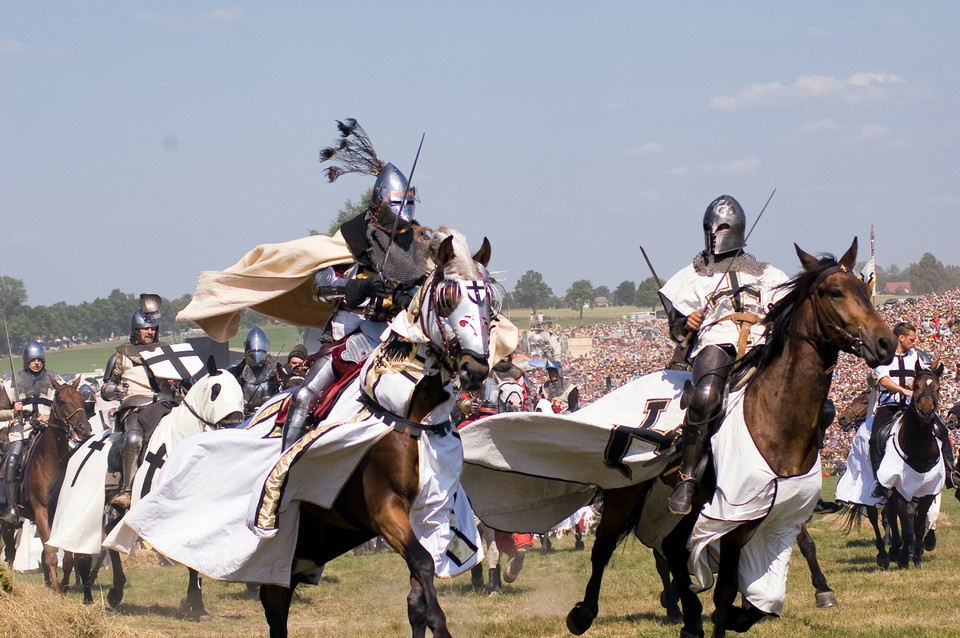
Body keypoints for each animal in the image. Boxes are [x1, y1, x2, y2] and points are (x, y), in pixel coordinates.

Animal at [568, 240, 896, 638]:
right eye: (835, 292)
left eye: (865, 289)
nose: (886, 343)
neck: (772, 415)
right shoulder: (733, 521)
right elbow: (724, 590)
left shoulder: (773, 519)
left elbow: (763, 591)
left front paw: (799, 597)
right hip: (627, 493)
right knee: (604, 547)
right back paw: (585, 612)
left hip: (681, 504)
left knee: (672, 548)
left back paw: (690, 617)